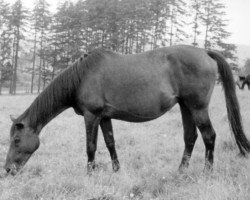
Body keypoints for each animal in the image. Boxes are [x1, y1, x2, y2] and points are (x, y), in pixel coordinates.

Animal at [4, 45, 250, 175]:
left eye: (16, 140)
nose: (7, 170)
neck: (81, 77)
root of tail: (206, 53)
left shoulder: (91, 116)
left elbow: (91, 147)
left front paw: (89, 174)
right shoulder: (104, 117)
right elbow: (110, 143)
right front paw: (116, 170)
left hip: (198, 108)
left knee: (209, 136)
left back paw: (206, 171)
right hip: (185, 107)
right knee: (190, 137)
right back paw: (181, 170)